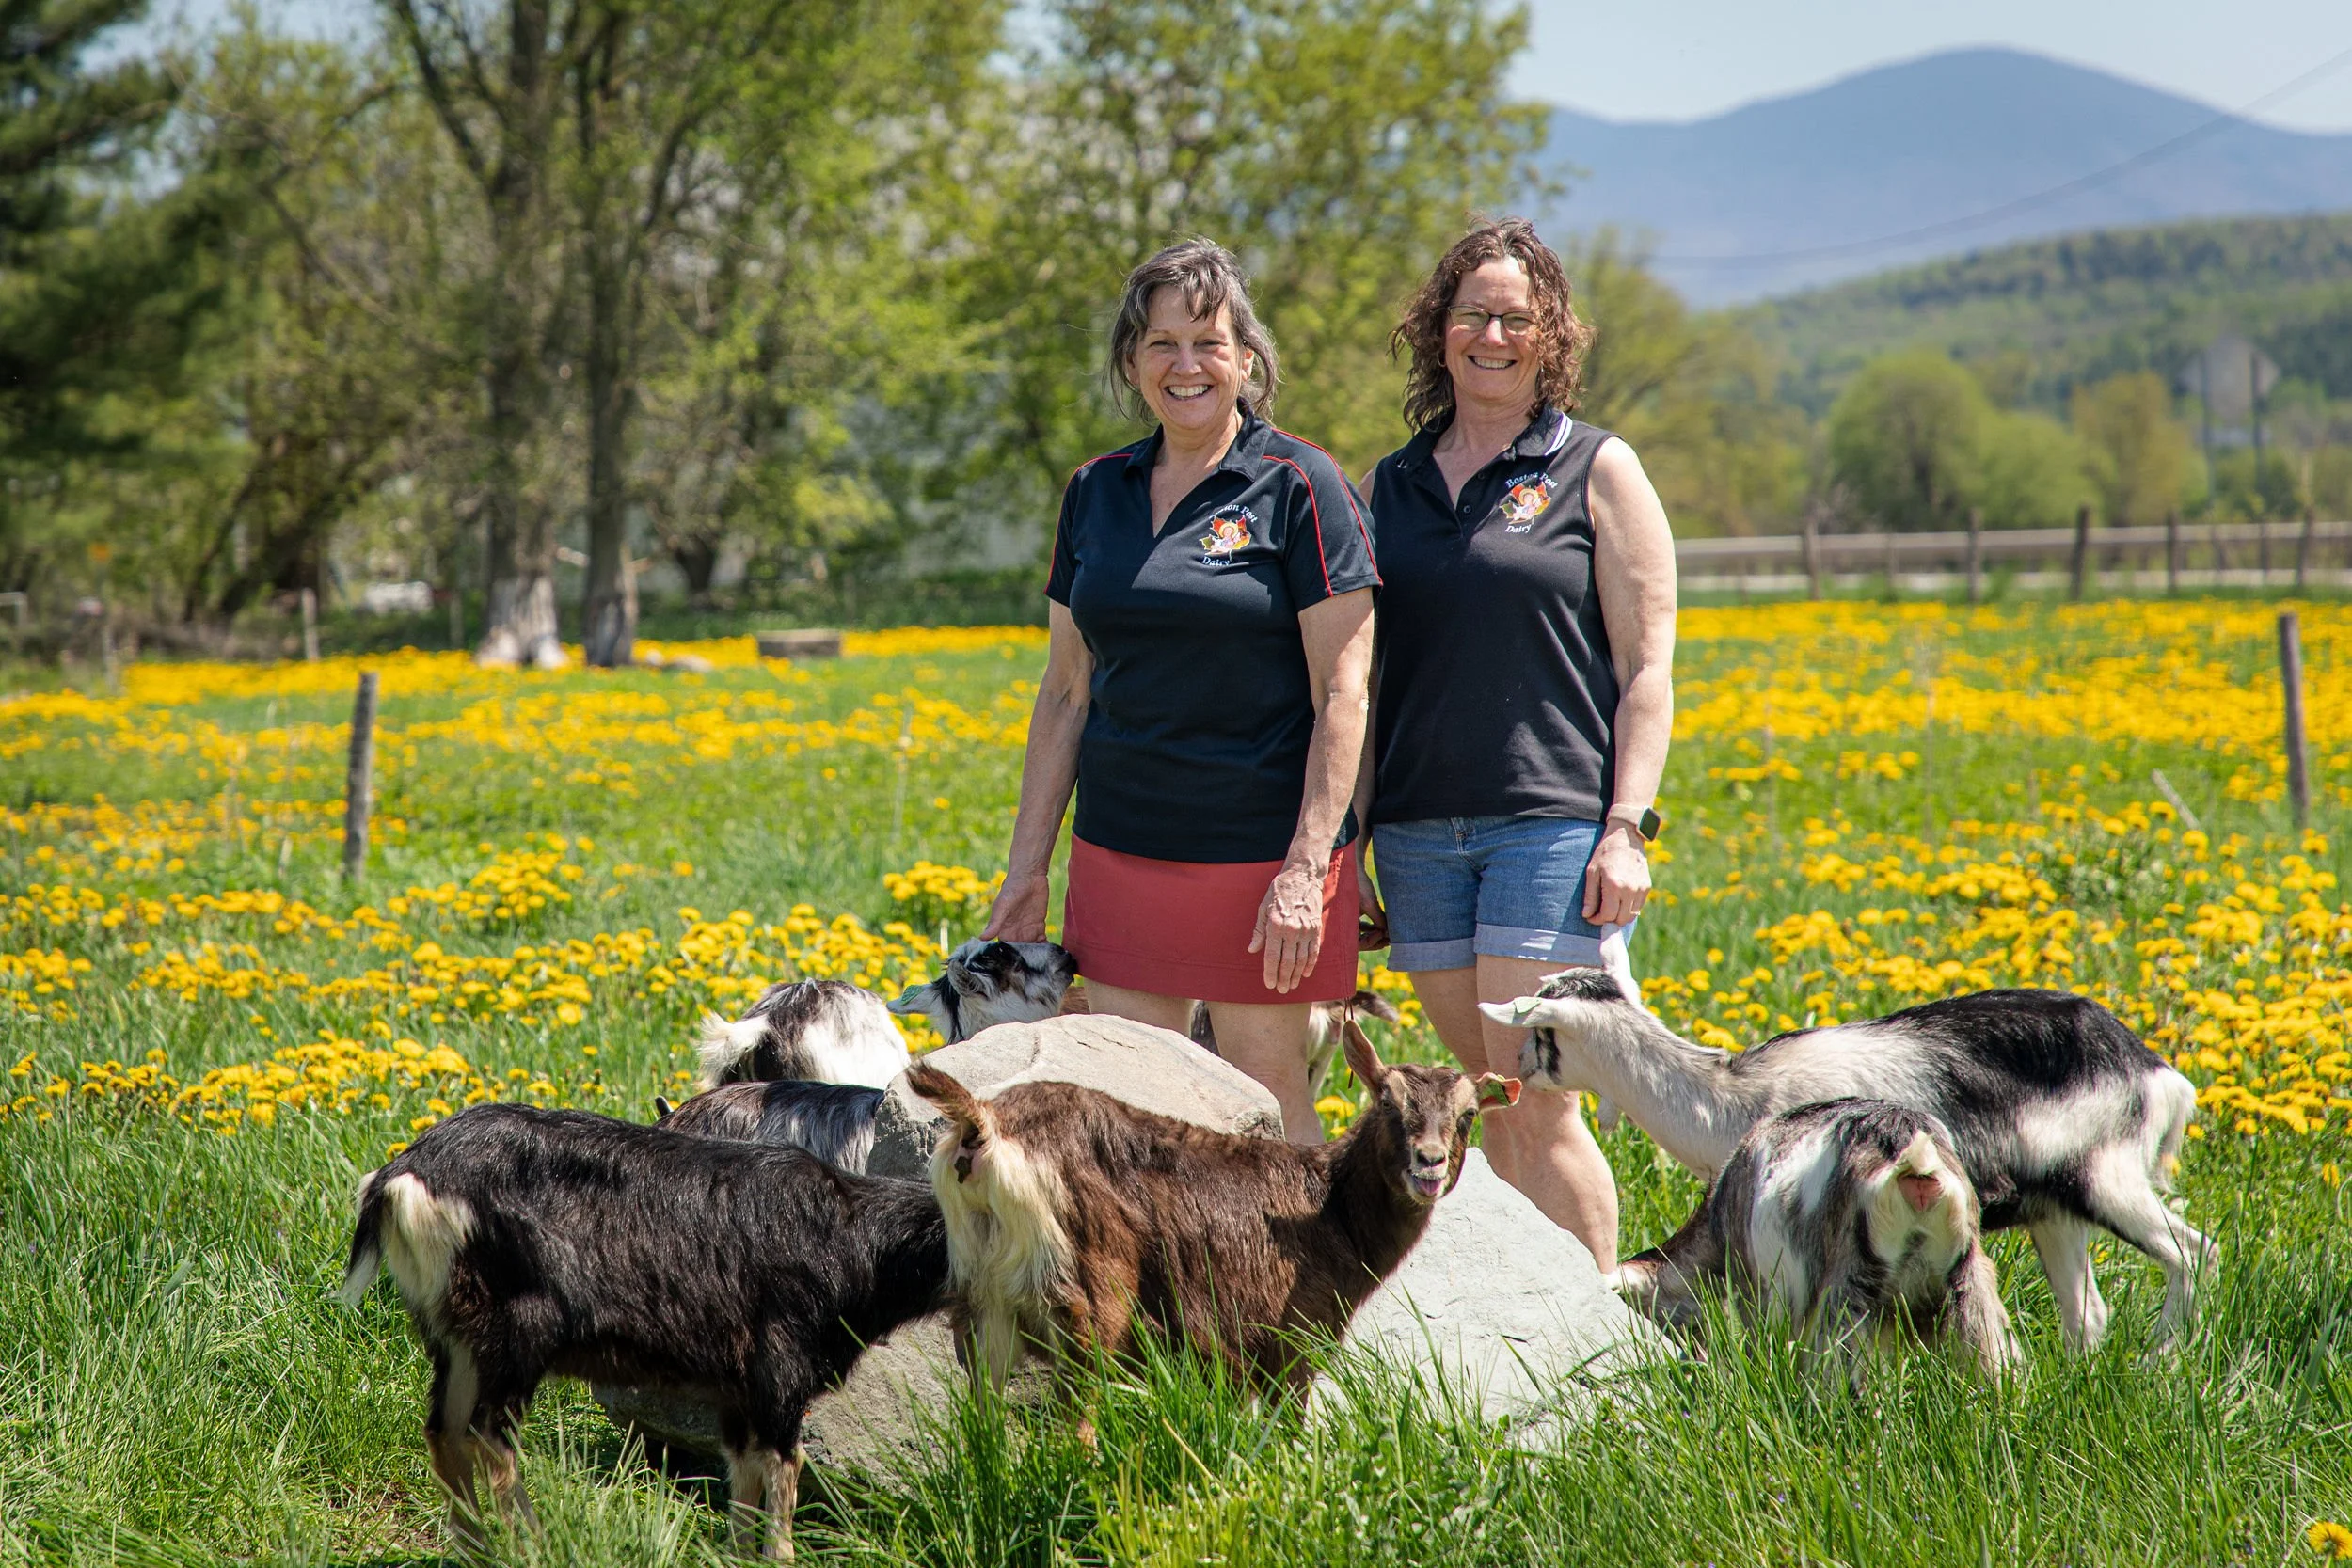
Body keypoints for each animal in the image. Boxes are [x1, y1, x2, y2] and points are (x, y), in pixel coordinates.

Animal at [339, 1104, 947, 1560]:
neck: (852, 1239)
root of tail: (401, 1179)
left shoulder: (738, 1390)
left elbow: (744, 1470)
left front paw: (740, 1554)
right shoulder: (780, 1364)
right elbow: (782, 1468)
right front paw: (779, 1556)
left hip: (455, 1332)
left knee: (445, 1431)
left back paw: (477, 1550)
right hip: (518, 1325)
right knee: (489, 1432)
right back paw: (535, 1545)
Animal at [903, 1023, 1519, 1395]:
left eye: (1467, 1115)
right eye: (1387, 1102)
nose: (1429, 1164)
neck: (1330, 1208)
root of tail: (983, 1126)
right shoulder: (1291, 1340)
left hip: (982, 1297)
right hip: (1090, 1294)